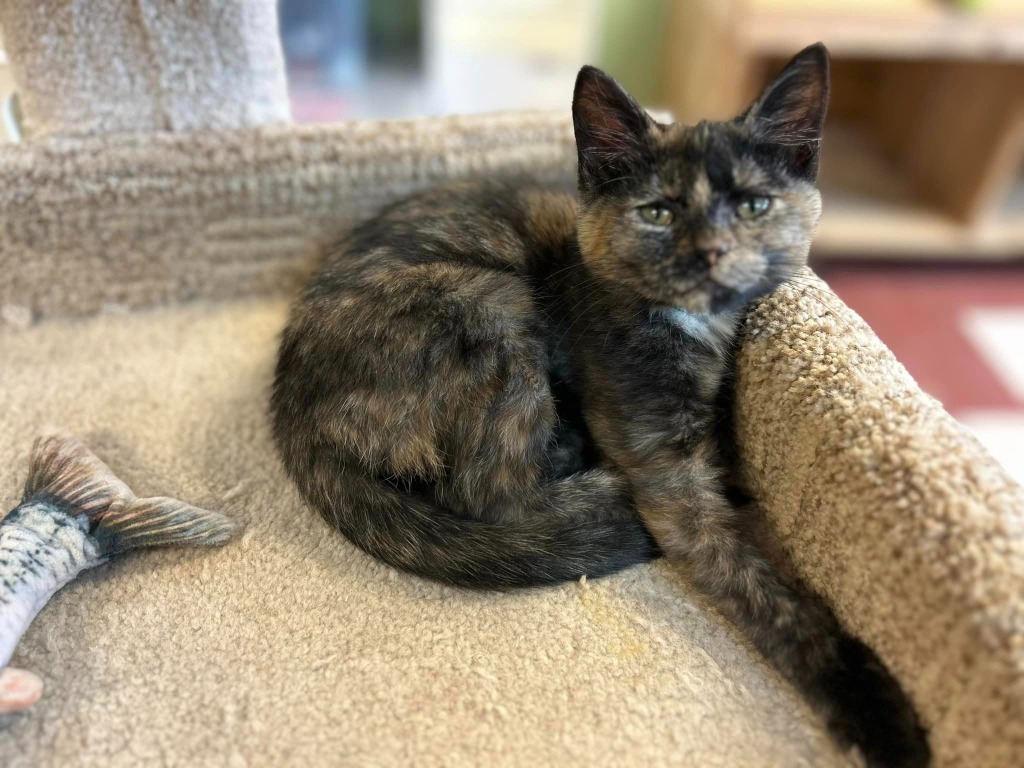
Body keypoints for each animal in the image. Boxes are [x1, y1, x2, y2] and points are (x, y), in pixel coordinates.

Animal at [272, 45, 929, 765]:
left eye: (754, 205)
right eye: (658, 213)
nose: (710, 253)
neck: (693, 328)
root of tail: (289, 405)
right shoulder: (670, 479)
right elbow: (765, 591)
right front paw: (874, 711)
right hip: (487, 298)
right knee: (492, 494)